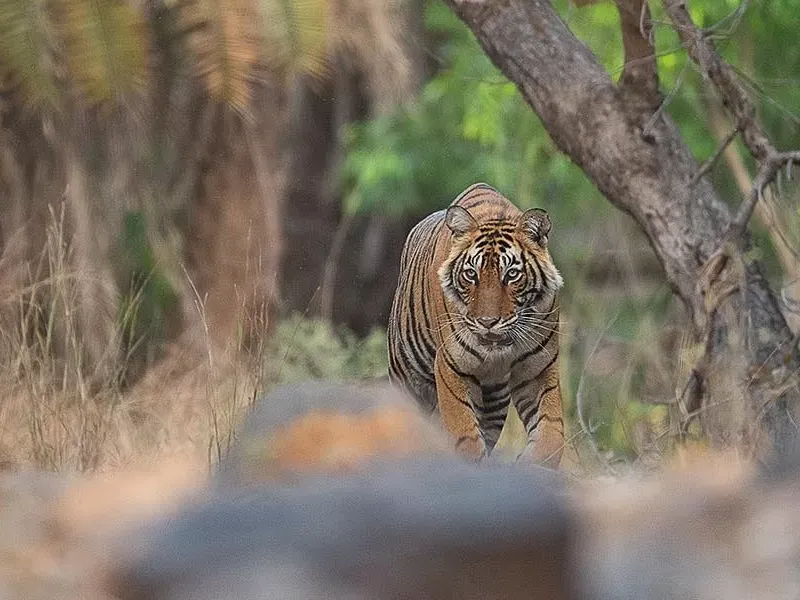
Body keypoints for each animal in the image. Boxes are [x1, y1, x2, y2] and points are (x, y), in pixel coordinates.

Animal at [388, 183, 564, 467]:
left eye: (511, 274)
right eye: (471, 274)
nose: (488, 322)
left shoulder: (537, 370)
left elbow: (551, 433)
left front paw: (532, 464)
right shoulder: (451, 367)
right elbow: (464, 433)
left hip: (495, 397)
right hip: (406, 377)